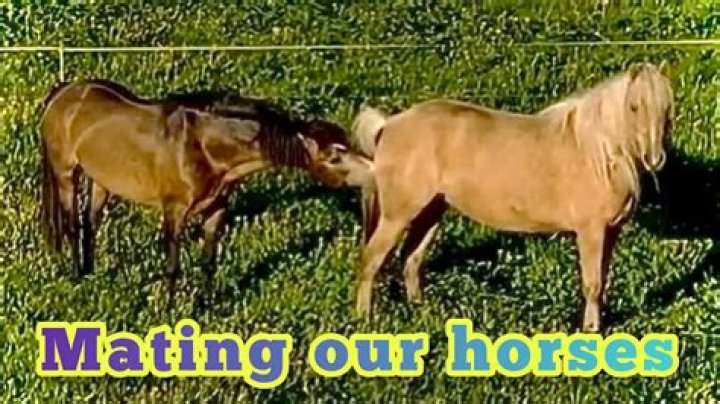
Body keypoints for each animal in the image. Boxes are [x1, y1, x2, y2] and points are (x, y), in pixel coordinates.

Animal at [39, 79, 372, 307]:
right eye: (335, 157)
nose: (372, 172)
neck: (202, 144)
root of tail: (65, 92)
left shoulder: (217, 209)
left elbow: (209, 260)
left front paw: (206, 305)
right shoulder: (174, 211)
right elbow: (173, 266)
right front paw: (168, 310)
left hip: (102, 181)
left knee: (90, 224)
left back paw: (90, 272)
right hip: (66, 173)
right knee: (72, 225)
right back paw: (76, 277)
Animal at [350, 62, 674, 332]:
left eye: (667, 109)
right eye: (634, 107)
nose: (655, 159)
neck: (599, 153)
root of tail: (388, 124)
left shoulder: (611, 231)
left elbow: (602, 282)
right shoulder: (590, 231)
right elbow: (592, 284)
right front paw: (591, 331)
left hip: (432, 210)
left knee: (411, 258)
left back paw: (420, 311)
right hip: (398, 215)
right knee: (372, 258)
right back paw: (364, 318)